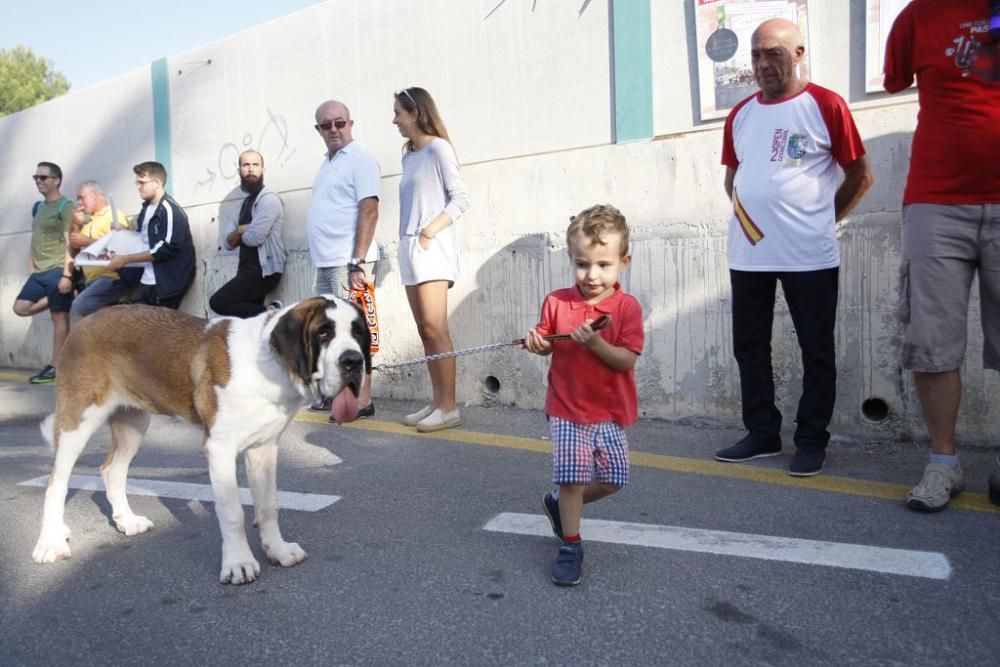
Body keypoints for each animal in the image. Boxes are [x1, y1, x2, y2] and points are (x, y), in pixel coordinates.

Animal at [30, 298, 372, 584]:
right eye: (324, 333)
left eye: (358, 333)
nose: (354, 362)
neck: (270, 365)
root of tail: (86, 321)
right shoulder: (219, 449)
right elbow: (232, 512)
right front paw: (239, 564)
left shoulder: (263, 449)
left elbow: (268, 506)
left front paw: (278, 550)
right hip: (79, 419)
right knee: (56, 481)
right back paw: (50, 541)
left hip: (133, 423)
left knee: (111, 469)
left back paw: (126, 521)